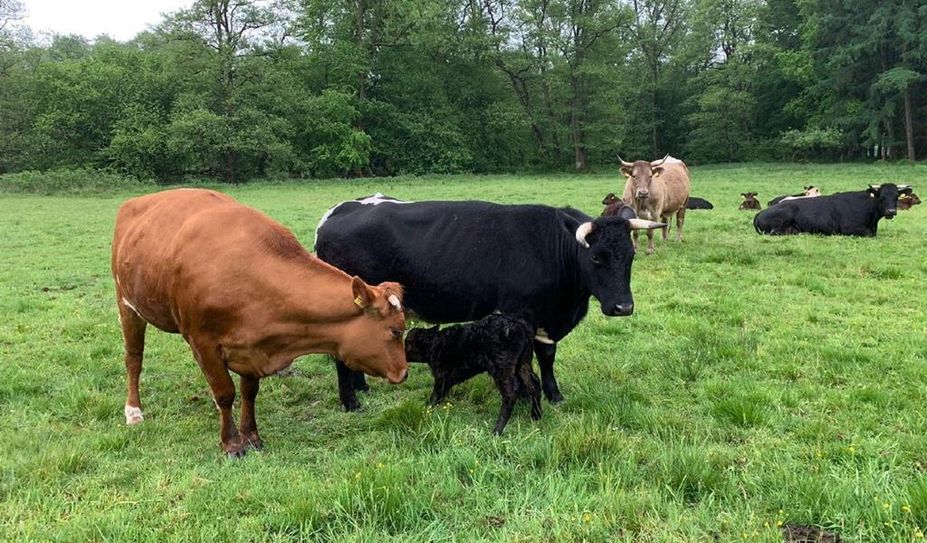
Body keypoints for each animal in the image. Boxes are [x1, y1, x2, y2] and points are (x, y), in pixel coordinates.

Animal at [112, 189, 408, 457]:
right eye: (396, 331)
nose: (404, 373)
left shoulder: (253, 342)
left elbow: (248, 392)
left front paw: (252, 436)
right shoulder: (203, 341)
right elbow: (225, 392)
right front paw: (232, 444)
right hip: (127, 305)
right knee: (134, 359)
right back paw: (133, 411)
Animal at [315, 195, 664, 410]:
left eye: (630, 256)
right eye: (596, 257)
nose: (623, 307)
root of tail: (341, 210)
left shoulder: (545, 322)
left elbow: (547, 358)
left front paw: (554, 395)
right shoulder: (520, 314)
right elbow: (525, 361)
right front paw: (524, 397)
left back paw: (361, 387)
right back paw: (351, 402)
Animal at [405, 314, 542, 435]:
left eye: (407, 342)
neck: (434, 344)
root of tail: (517, 323)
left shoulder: (440, 374)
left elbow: (435, 395)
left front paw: (425, 409)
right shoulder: (446, 379)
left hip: (502, 366)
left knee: (511, 392)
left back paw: (497, 431)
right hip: (523, 363)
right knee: (534, 383)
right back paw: (536, 415)